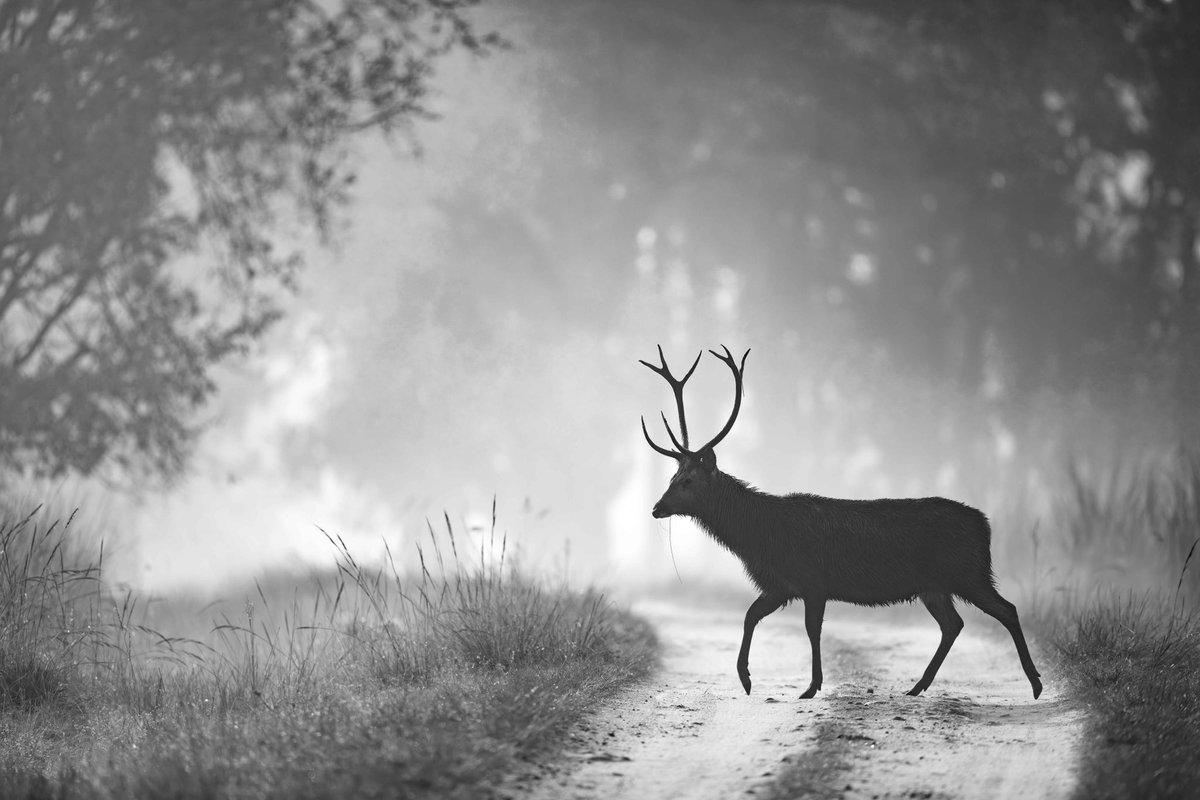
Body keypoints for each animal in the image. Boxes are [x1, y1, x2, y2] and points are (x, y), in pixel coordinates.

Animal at [640, 345, 1042, 700]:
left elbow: (810, 630)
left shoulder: (812, 580)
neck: (759, 539)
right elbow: (750, 616)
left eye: (688, 481)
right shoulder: (781, 585)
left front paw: (810, 686)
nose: (656, 509)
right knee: (953, 624)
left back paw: (1035, 683)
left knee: (1007, 609)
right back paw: (917, 686)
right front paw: (746, 679)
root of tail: (986, 525)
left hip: (968, 573)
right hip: (935, 586)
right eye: (673, 477)